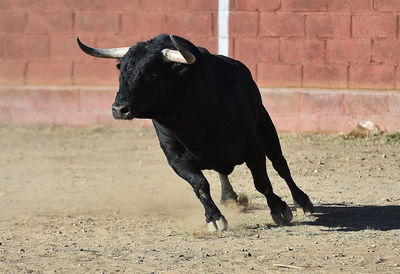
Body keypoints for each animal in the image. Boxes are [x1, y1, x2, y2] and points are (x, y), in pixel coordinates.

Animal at [75, 34, 312, 231]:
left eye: (152, 75)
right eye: (122, 70)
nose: (119, 109)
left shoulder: (252, 147)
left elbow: (262, 181)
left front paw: (279, 209)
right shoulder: (175, 158)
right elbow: (200, 185)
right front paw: (214, 218)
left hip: (265, 127)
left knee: (280, 165)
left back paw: (302, 201)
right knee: (223, 173)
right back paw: (229, 198)